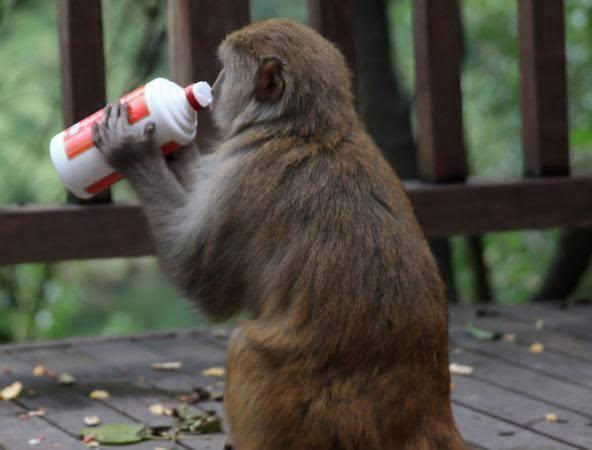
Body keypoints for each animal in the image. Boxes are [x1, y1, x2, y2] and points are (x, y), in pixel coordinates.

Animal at [93, 18, 468, 450]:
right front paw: (176, 145)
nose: (212, 86)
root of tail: (428, 417)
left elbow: (200, 278)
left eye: (226, 69)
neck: (304, 129)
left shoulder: (243, 177)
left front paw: (133, 152)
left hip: (317, 414)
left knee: (245, 348)